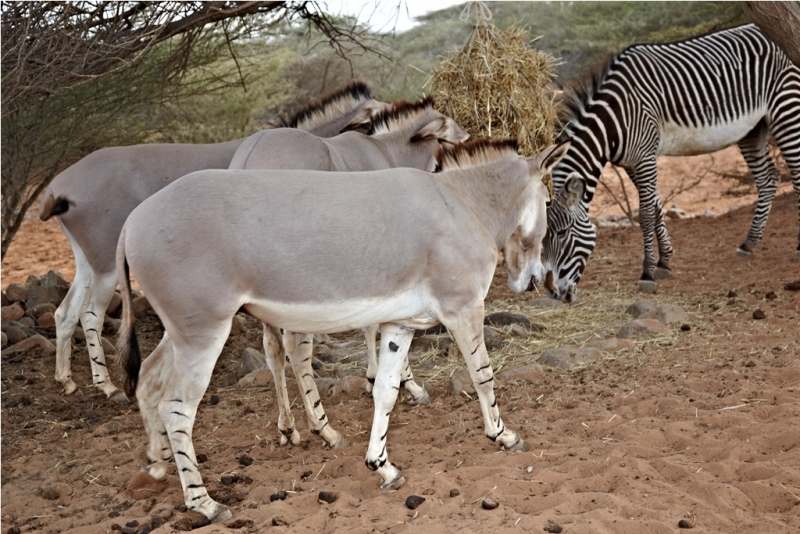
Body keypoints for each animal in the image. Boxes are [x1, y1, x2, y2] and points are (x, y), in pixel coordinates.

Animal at [544, 24, 800, 302]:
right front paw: (664, 261)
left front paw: (647, 272)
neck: (614, 120)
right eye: (544, 236)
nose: (553, 293)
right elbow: (656, 205)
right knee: (768, 179)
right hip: (753, 128)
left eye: (562, 233)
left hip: (787, 108)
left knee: (795, 178)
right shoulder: (632, 163)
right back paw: (749, 243)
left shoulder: (645, 156)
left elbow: (646, 213)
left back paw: (797, 247)